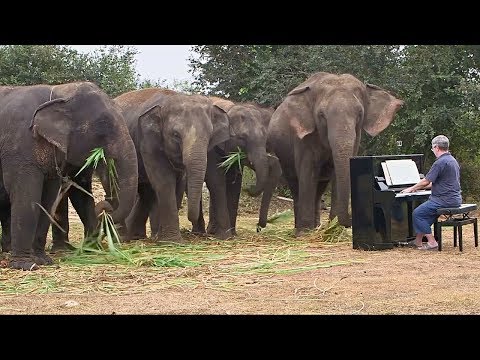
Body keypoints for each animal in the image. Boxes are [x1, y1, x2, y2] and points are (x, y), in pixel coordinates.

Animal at [0, 81, 139, 268]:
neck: (61, 91)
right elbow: (27, 197)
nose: (104, 206)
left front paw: (43, 260)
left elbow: (51, 198)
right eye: (103, 124)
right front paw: (26, 265)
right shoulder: (19, 148)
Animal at [109, 88, 231, 243]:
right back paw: (124, 237)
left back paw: (137, 236)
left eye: (210, 136)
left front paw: (164, 239)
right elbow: (165, 181)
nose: (198, 232)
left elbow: (179, 183)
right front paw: (172, 241)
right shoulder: (149, 142)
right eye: (176, 135)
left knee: (146, 191)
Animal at [256, 71, 404, 235]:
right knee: (296, 184)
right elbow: (307, 172)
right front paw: (305, 233)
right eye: (321, 115)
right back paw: (301, 229)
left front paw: (335, 229)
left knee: (319, 188)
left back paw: (317, 227)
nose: (349, 222)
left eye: (360, 113)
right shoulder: (304, 137)